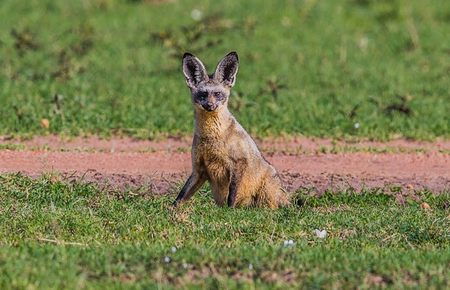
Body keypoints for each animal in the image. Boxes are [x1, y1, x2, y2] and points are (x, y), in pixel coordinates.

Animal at [172, 52, 288, 208]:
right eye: (203, 94)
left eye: (218, 94)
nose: (210, 105)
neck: (211, 138)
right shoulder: (198, 169)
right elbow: (182, 195)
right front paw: (171, 209)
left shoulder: (239, 162)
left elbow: (232, 194)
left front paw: (229, 210)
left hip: (267, 194)